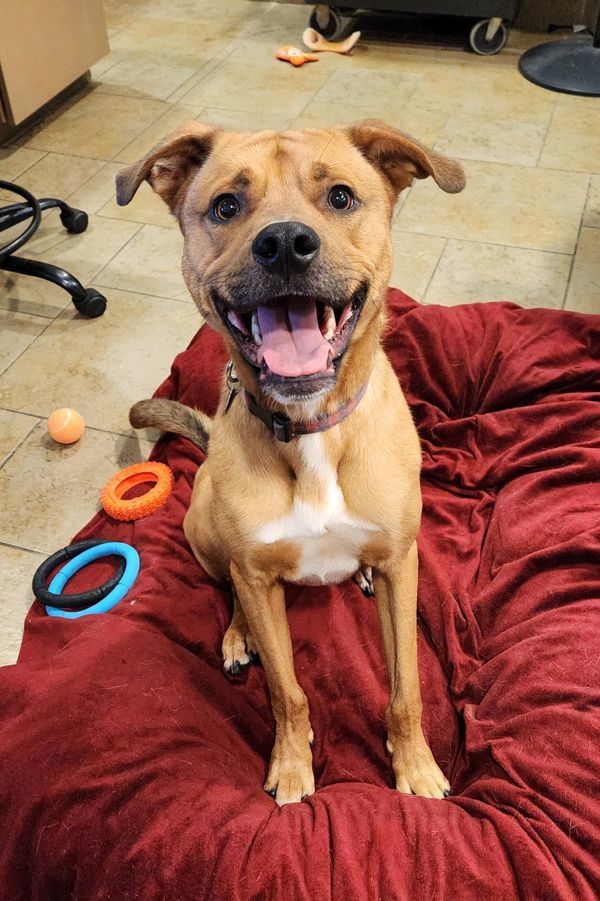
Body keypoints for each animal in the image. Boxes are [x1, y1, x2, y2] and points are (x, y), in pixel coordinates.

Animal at [117, 118, 464, 800]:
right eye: (226, 206)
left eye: (340, 197)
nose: (283, 244)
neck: (308, 429)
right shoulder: (256, 574)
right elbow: (287, 692)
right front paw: (292, 766)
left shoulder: (402, 565)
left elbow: (405, 688)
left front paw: (415, 767)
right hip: (205, 530)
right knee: (231, 588)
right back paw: (238, 634)